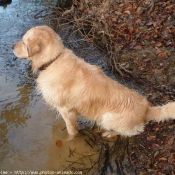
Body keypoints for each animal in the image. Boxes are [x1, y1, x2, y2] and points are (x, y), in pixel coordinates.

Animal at [13, 26, 175, 137]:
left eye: (24, 42)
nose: (11, 46)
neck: (53, 60)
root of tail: (146, 109)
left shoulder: (67, 110)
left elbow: (72, 131)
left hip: (107, 117)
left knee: (126, 132)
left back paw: (109, 134)